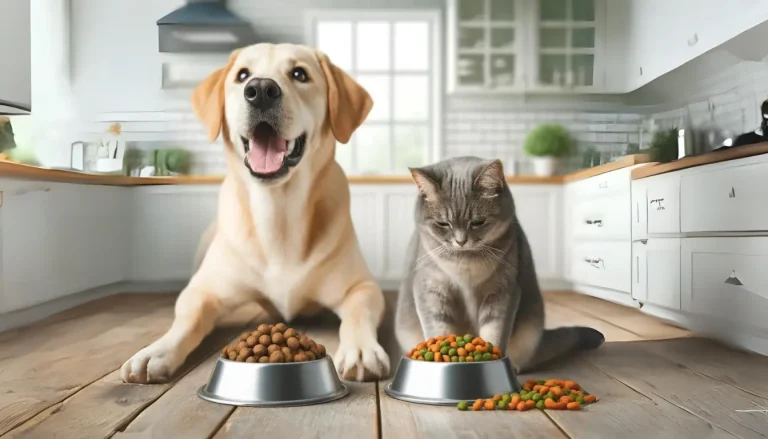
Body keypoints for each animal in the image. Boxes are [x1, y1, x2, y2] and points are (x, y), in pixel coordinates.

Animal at [121, 42, 390, 384]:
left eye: (299, 74)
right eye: (242, 75)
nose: (260, 90)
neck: (278, 211)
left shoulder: (361, 287)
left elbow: (358, 313)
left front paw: (360, 350)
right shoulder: (203, 290)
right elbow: (187, 318)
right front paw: (156, 350)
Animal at [396, 156, 608, 372]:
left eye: (478, 222)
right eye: (443, 224)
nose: (461, 241)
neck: (465, 263)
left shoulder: (502, 291)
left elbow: (494, 333)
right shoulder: (431, 291)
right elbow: (438, 331)